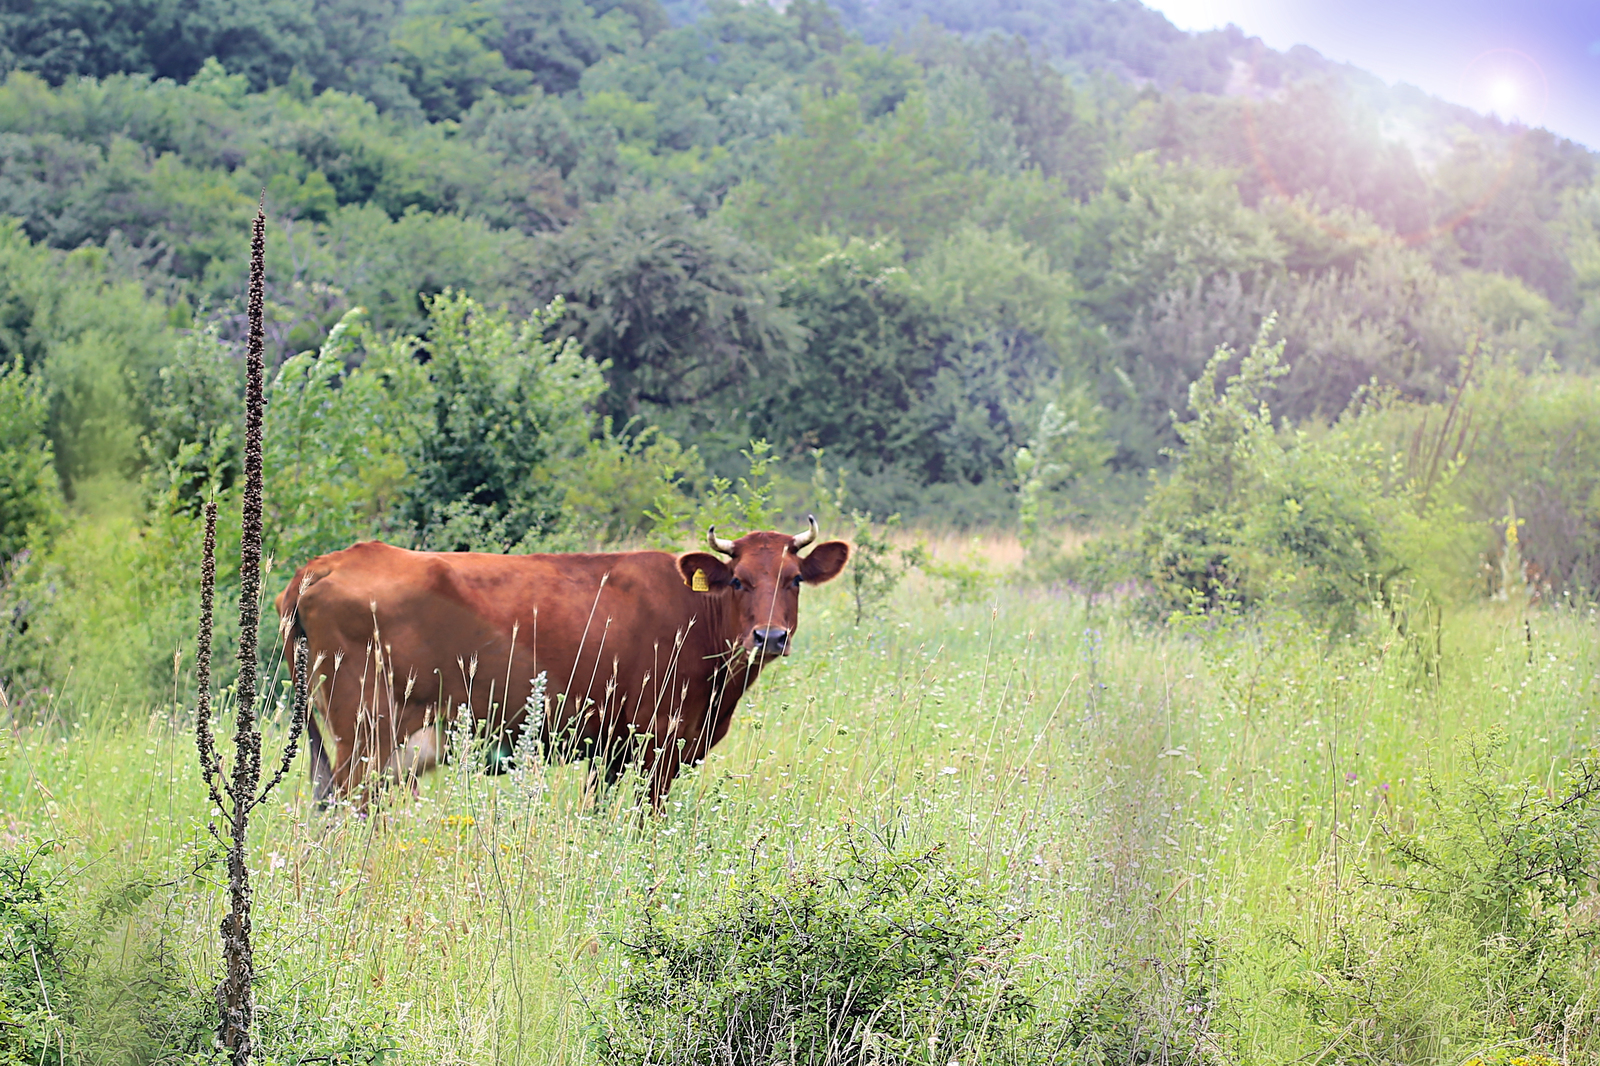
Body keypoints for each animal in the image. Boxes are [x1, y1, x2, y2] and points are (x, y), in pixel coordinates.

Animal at [275, 515, 851, 806]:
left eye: (794, 579)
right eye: (738, 581)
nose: (769, 635)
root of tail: (325, 563)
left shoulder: (612, 750)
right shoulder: (657, 746)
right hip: (366, 734)